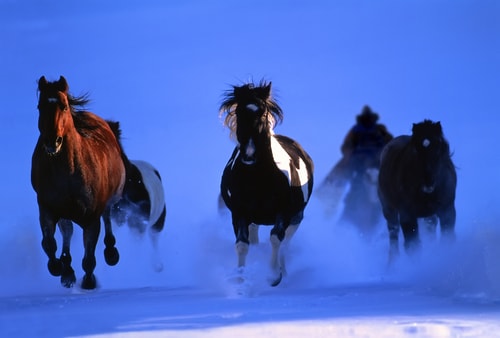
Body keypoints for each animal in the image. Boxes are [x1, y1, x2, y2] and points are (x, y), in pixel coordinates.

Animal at [31, 76, 126, 290]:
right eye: (40, 106)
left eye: (64, 106)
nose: (52, 141)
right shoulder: (47, 208)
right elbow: (48, 243)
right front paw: (58, 267)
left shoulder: (91, 218)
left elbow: (89, 257)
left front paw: (89, 282)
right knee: (67, 231)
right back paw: (67, 270)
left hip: (111, 197)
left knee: (107, 216)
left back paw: (111, 253)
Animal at [219, 81, 312, 286]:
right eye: (239, 113)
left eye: (262, 113)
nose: (249, 156)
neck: (258, 179)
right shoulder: (239, 213)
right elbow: (242, 245)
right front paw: (240, 278)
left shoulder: (283, 213)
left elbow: (276, 239)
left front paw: (273, 275)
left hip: (296, 217)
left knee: (285, 244)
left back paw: (283, 271)